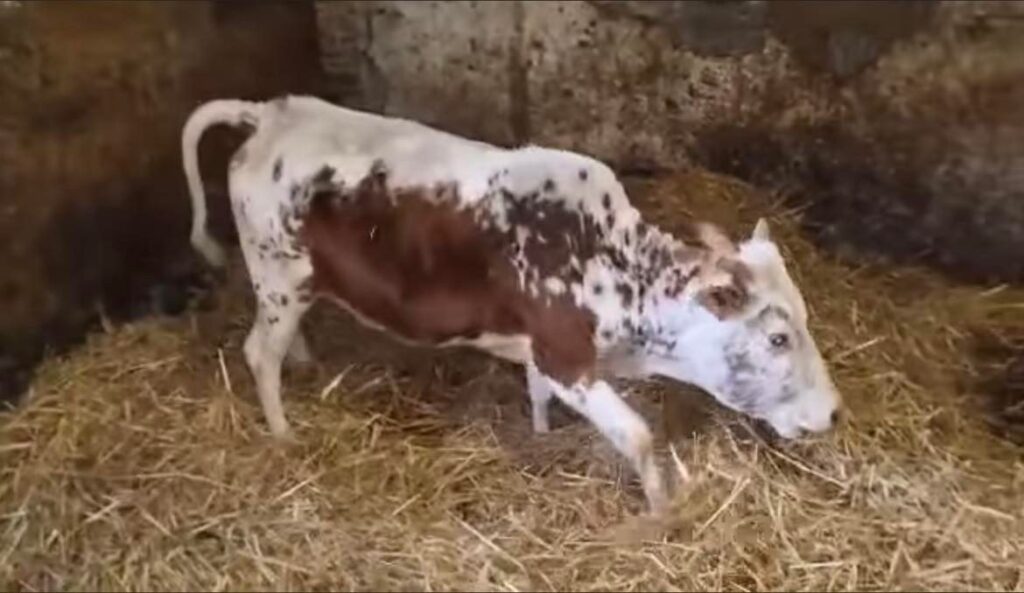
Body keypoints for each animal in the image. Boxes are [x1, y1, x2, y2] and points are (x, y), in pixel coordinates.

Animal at [181, 95, 842, 514]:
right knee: (257, 352)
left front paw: (543, 436)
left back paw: (304, 361)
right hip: (278, 271)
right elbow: (636, 434)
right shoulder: (566, 354)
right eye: (778, 337)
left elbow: (536, 392)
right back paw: (283, 433)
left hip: (290, 283)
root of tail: (273, 111)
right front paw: (660, 509)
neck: (615, 268)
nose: (835, 413)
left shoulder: (539, 349)